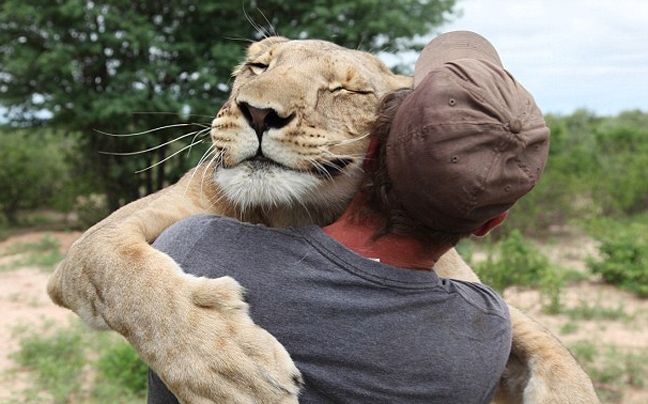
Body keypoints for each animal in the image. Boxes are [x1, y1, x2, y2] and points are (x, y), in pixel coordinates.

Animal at [46, 36, 596, 402]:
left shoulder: (473, 288)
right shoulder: (124, 232)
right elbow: (123, 272)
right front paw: (224, 363)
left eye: (345, 91)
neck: (294, 212)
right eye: (257, 65)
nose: (259, 113)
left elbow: (554, 348)